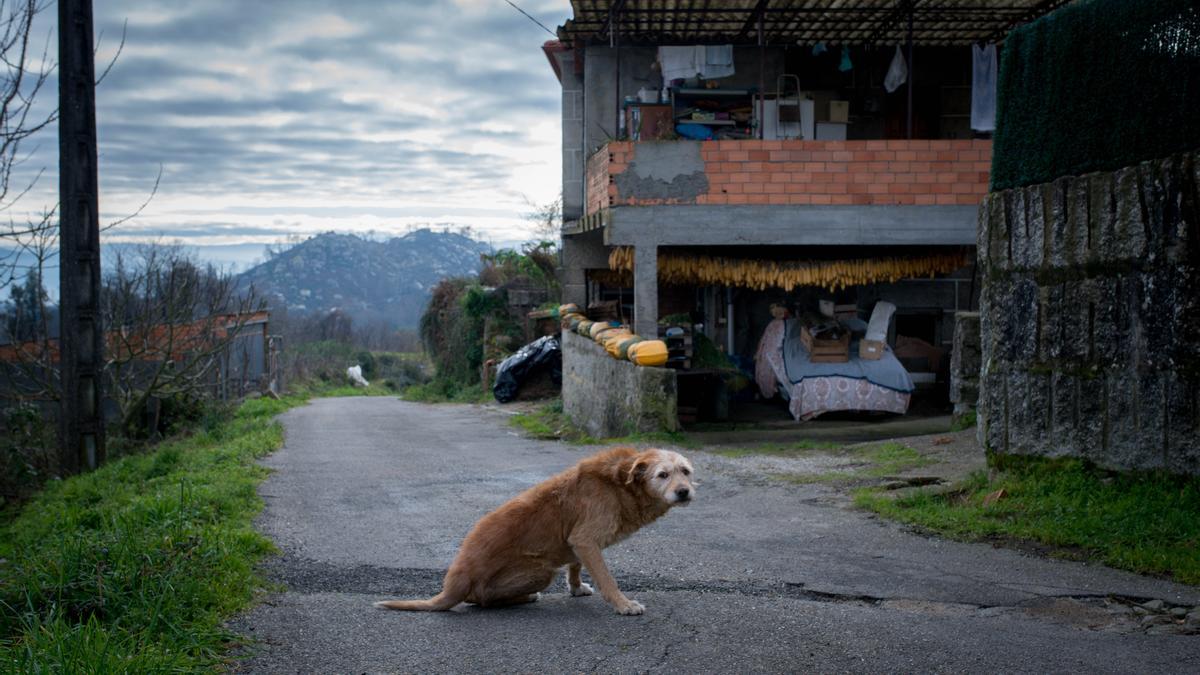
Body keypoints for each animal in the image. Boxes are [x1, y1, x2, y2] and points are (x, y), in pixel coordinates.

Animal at [374, 444, 696, 612]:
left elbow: (575, 564)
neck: (621, 483)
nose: (684, 492)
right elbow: (607, 579)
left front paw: (576, 588)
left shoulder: (577, 542)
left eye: (686, 472)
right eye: (662, 475)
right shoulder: (586, 539)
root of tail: (456, 582)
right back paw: (522, 597)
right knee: (481, 600)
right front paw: (623, 604)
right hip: (540, 572)